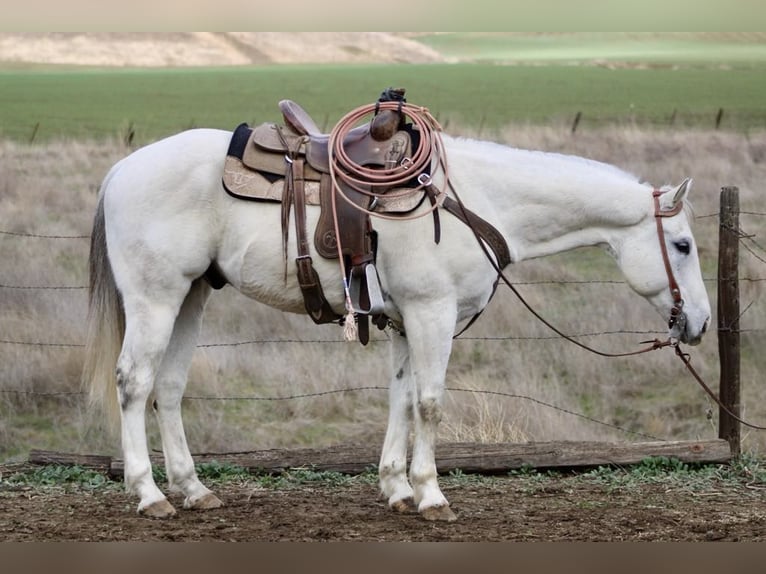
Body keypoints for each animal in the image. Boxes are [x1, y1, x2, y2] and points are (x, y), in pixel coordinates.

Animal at [84, 128, 712, 524]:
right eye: (682, 245)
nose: (701, 322)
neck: (475, 202)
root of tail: (120, 170)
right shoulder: (433, 314)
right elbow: (430, 404)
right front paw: (431, 495)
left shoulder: (408, 321)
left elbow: (402, 400)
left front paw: (396, 488)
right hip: (156, 299)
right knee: (134, 383)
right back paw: (149, 495)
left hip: (190, 296)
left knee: (168, 388)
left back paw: (193, 490)